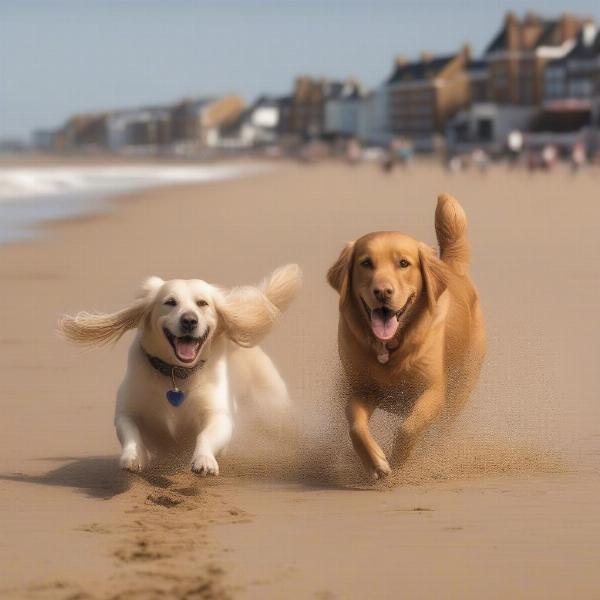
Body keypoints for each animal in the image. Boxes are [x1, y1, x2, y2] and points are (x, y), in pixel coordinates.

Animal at [59, 264, 300, 476]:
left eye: (202, 303)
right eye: (170, 302)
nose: (189, 320)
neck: (176, 373)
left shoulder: (218, 415)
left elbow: (207, 435)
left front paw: (204, 461)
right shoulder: (126, 411)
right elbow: (130, 432)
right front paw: (134, 457)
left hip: (271, 407)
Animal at [326, 195, 486, 480]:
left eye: (403, 263)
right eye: (366, 263)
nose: (382, 291)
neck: (389, 348)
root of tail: (452, 267)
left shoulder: (433, 391)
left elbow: (409, 426)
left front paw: (400, 461)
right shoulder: (363, 389)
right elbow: (355, 424)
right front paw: (375, 461)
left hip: (462, 385)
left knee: (442, 427)